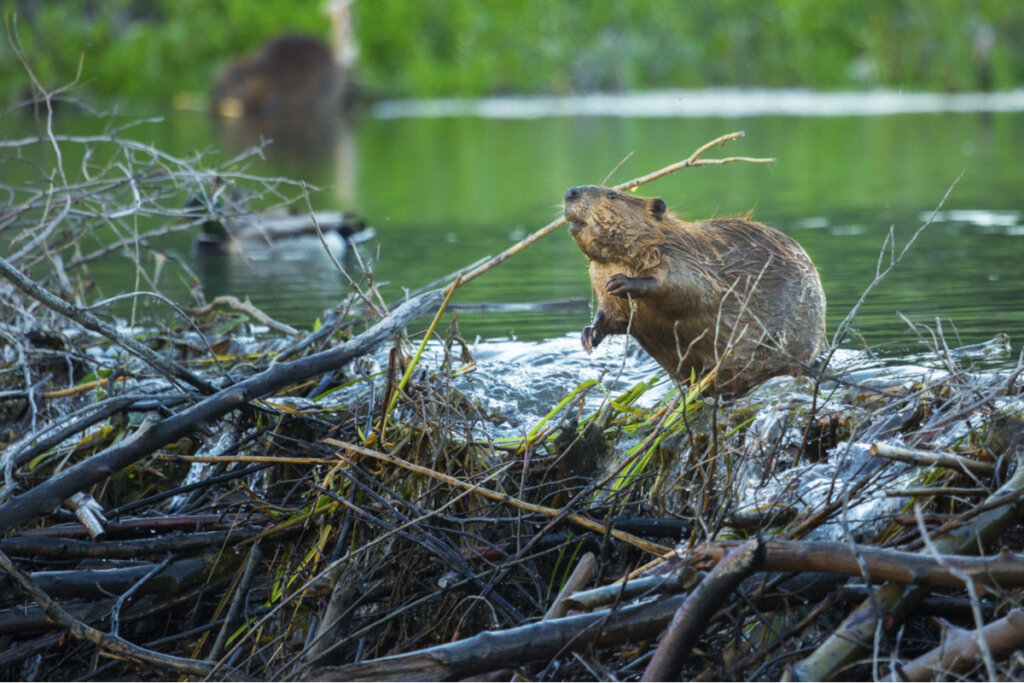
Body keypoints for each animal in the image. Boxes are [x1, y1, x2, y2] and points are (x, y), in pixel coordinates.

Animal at [565, 184, 827, 395]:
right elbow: (611, 316)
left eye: (612, 195)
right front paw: (588, 336)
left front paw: (621, 282)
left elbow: (688, 289)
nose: (571, 192)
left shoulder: (684, 258)